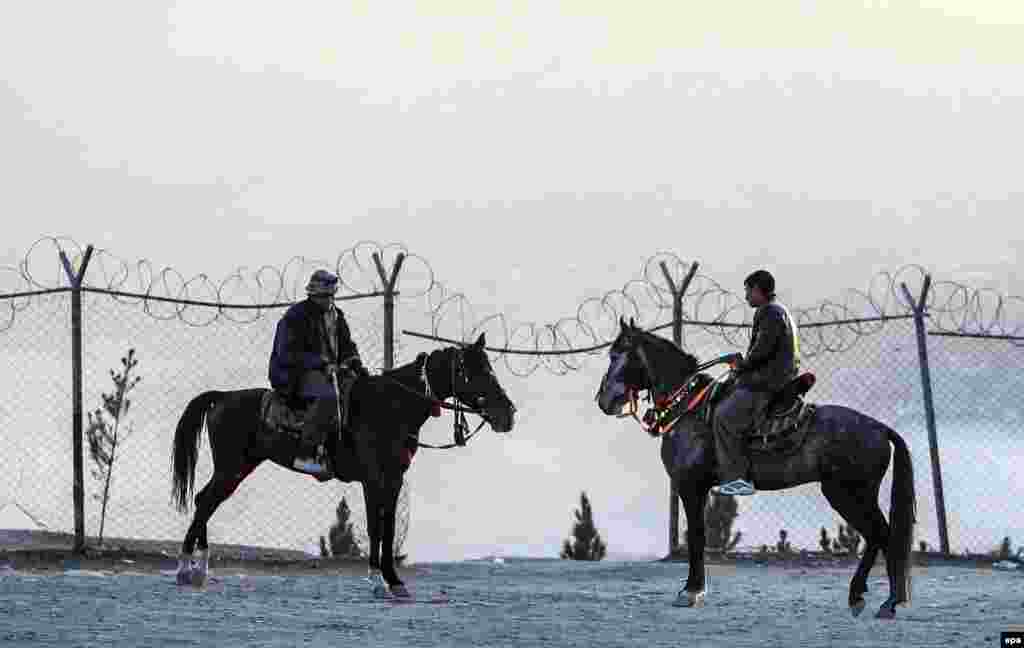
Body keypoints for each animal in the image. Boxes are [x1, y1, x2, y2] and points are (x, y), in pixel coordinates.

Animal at [173, 333, 520, 597]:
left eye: (490, 368)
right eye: (473, 371)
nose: (508, 414)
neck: (392, 407)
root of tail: (222, 397)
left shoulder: (392, 480)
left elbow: (386, 527)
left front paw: (390, 581)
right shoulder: (374, 479)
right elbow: (377, 527)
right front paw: (382, 580)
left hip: (238, 468)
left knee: (206, 501)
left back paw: (198, 570)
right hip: (230, 467)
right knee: (205, 502)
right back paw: (185, 569)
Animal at [598, 319, 917, 618]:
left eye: (616, 355)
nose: (604, 399)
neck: (689, 408)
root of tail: (880, 429)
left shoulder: (691, 487)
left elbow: (697, 537)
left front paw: (691, 591)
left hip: (847, 494)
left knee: (881, 535)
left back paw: (883, 601)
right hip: (854, 495)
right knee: (878, 536)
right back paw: (868, 598)